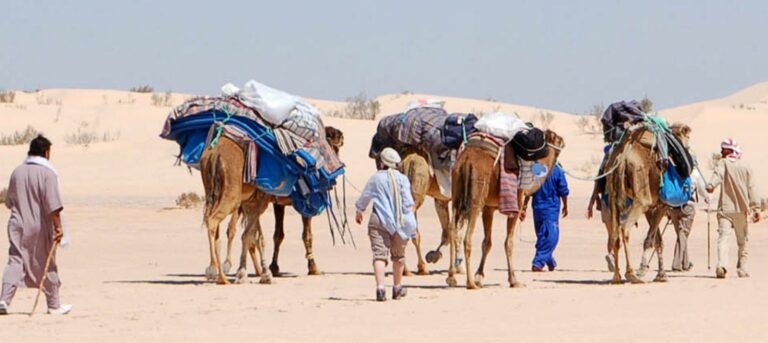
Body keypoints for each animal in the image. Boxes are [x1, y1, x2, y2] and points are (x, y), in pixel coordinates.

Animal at [204, 127, 344, 284]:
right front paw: (313, 268)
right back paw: (218, 271)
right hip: (232, 197)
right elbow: (305, 235)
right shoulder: (304, 204)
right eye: (334, 144)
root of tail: (215, 154)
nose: (341, 137)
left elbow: (271, 235)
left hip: (217, 194)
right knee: (217, 223)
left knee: (221, 226)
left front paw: (269, 269)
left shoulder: (272, 203)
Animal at [450, 130, 564, 288]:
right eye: (557, 138)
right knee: (467, 237)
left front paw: (480, 276)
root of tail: (467, 160)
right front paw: (514, 280)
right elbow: (508, 242)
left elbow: (487, 242)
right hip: (476, 196)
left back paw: (452, 278)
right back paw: (470, 283)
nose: (563, 141)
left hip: (456, 192)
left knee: (453, 233)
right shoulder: (516, 204)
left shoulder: (489, 208)